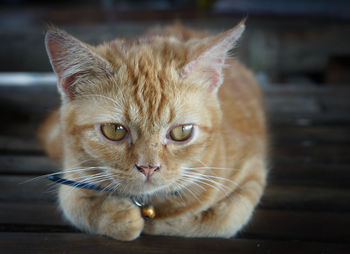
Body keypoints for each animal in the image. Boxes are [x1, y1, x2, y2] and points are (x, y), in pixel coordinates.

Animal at [38, 19, 266, 240]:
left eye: (182, 132)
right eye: (114, 130)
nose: (148, 167)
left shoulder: (253, 171)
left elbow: (221, 219)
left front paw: (161, 223)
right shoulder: (73, 174)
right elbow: (73, 203)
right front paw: (117, 217)